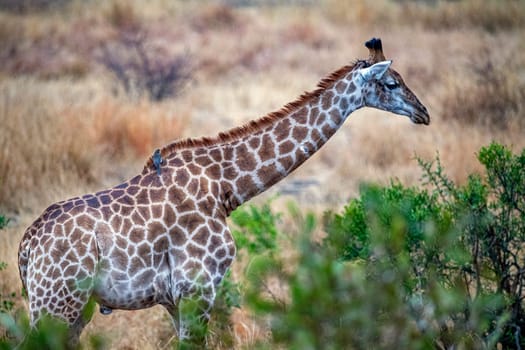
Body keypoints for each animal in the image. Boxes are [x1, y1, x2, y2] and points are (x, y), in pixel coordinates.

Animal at [17, 37, 430, 346]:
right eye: (391, 83)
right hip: (57, 303)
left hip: (74, 307)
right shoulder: (196, 288)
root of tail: (26, 248)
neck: (226, 186)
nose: (423, 113)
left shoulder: (177, 299)